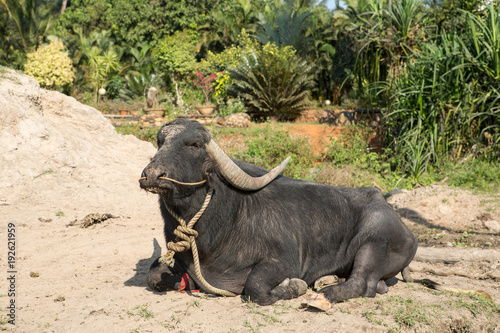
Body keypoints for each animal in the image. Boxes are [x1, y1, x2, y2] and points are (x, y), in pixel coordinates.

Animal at [139, 119, 416, 306]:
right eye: (160, 141)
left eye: (194, 144)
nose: (152, 175)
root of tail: (408, 231)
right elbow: (153, 275)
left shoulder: (283, 262)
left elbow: (255, 289)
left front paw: (295, 287)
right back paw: (330, 280)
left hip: (373, 240)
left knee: (362, 283)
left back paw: (325, 292)